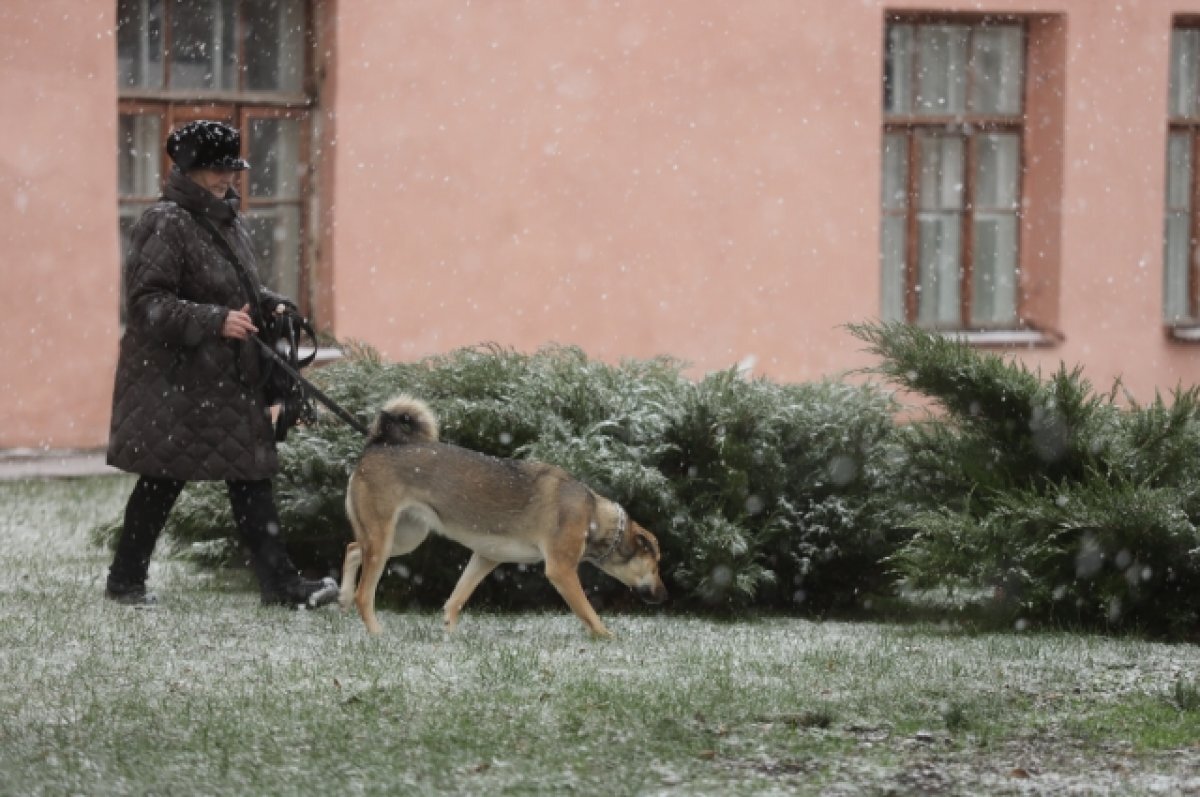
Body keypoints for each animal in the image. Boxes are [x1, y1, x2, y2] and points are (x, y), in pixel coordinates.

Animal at [343, 396, 672, 638]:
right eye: (656, 566)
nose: (665, 595)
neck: (593, 515)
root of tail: (377, 443)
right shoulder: (561, 570)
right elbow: (589, 613)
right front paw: (608, 637)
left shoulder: (486, 557)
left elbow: (456, 599)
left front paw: (449, 634)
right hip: (384, 538)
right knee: (364, 594)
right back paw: (375, 632)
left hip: (405, 537)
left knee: (352, 549)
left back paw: (342, 597)